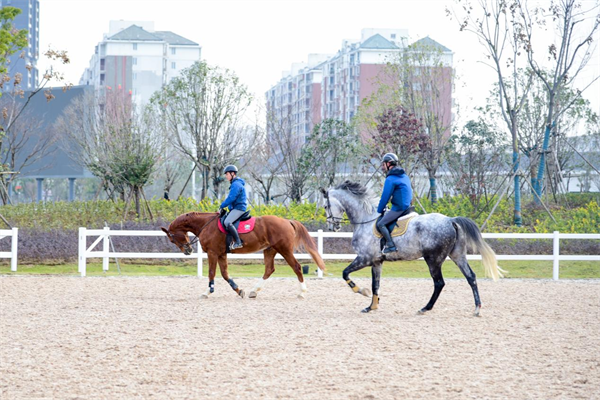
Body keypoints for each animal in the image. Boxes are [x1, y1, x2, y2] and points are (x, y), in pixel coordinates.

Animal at [162, 214, 326, 298]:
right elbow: (225, 274)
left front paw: (207, 291)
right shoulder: (221, 254)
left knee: (296, 267)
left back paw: (302, 292)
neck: (206, 224)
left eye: (172, 239)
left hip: (284, 249)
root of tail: (287, 221)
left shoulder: (213, 253)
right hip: (270, 250)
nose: (188, 251)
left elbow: (212, 273)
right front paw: (238, 290)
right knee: (269, 270)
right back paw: (254, 291)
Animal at [322, 181, 504, 316]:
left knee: (439, 283)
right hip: (458, 256)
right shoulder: (376, 262)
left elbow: (345, 273)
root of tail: (451, 220)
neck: (365, 219)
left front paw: (361, 291)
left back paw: (425, 308)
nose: (332, 227)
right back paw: (477, 308)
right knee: (471, 277)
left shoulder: (365, 258)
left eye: (325, 206)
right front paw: (371, 306)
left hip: (433, 260)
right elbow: (376, 285)